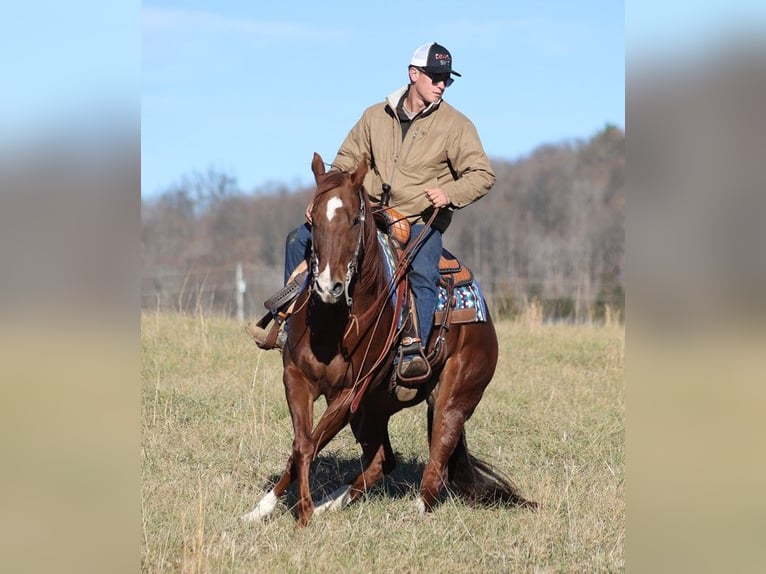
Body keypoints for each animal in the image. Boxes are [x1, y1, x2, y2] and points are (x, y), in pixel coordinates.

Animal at [244, 154, 536, 532]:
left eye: (355, 219)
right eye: (313, 218)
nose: (327, 286)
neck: (334, 322)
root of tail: (485, 319)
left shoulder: (348, 393)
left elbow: (309, 445)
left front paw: (303, 514)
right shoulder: (297, 379)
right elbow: (302, 444)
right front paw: (264, 509)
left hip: (452, 400)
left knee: (437, 462)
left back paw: (413, 510)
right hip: (374, 408)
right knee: (382, 459)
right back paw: (330, 505)